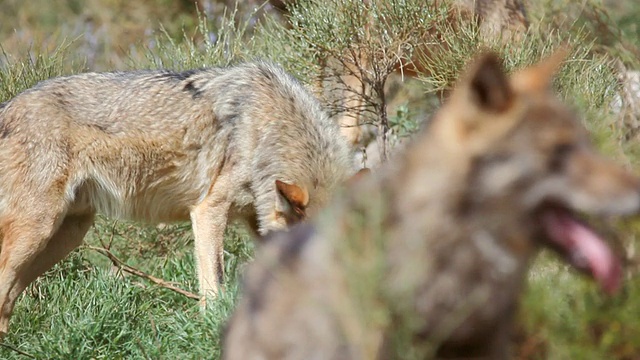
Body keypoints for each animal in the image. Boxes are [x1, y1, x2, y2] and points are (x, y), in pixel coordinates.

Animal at [0, 61, 356, 334]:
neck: (268, 126)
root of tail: (7, 106)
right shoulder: (208, 209)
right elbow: (215, 284)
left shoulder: (258, 221)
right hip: (37, 232)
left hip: (66, 237)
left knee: (8, 299)